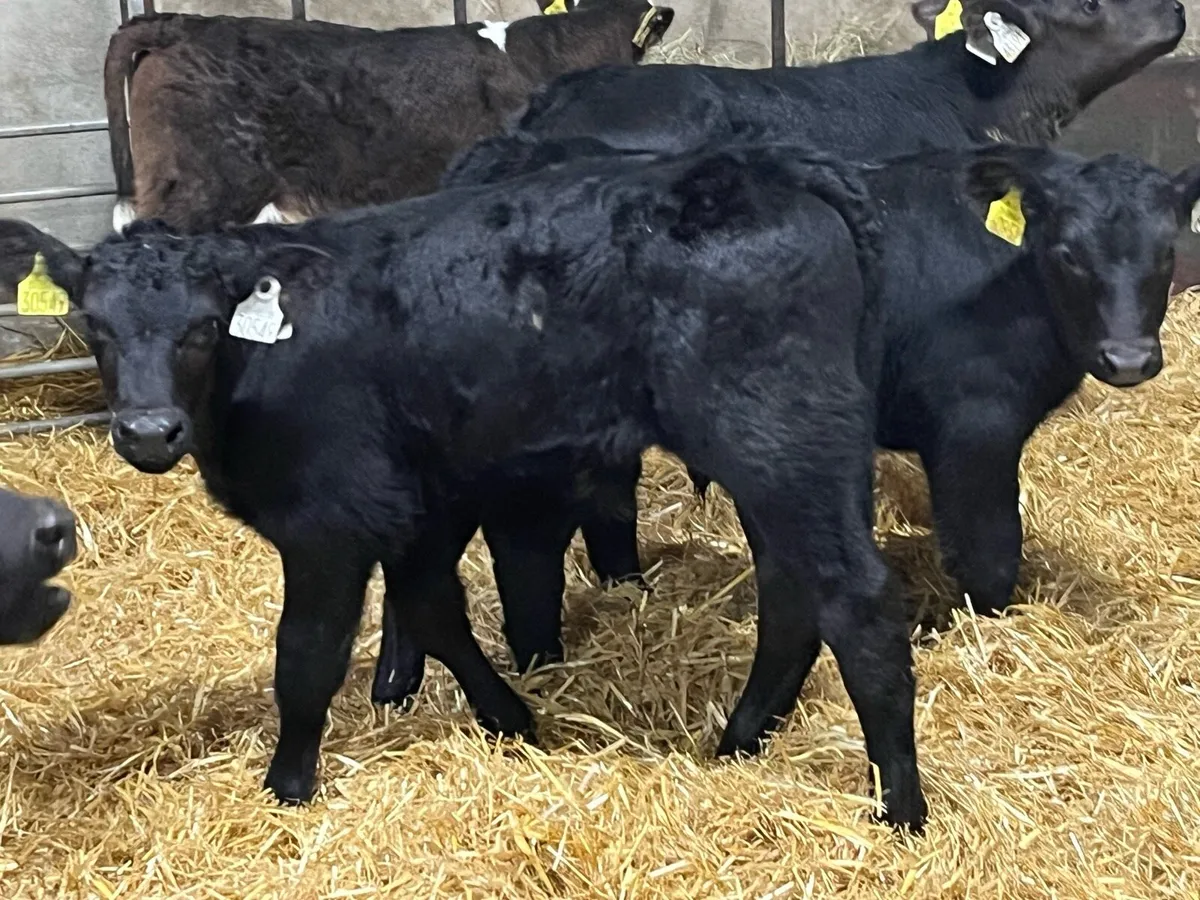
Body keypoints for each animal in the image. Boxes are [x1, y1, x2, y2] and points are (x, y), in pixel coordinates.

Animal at [428, 133, 1200, 680]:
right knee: (525, 544)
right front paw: (983, 633)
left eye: (1167, 253)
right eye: (1069, 253)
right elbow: (988, 553)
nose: (1128, 358)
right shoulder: (973, 428)